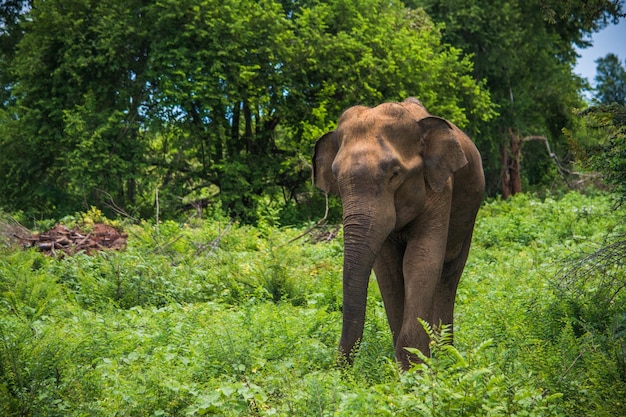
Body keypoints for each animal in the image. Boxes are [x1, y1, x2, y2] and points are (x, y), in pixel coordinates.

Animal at [312, 98, 482, 370]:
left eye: (395, 174)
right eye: (336, 177)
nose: (339, 369)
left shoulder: (441, 189)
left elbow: (420, 260)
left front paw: (415, 369)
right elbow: (388, 271)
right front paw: (410, 366)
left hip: (470, 213)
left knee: (450, 273)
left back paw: (444, 354)